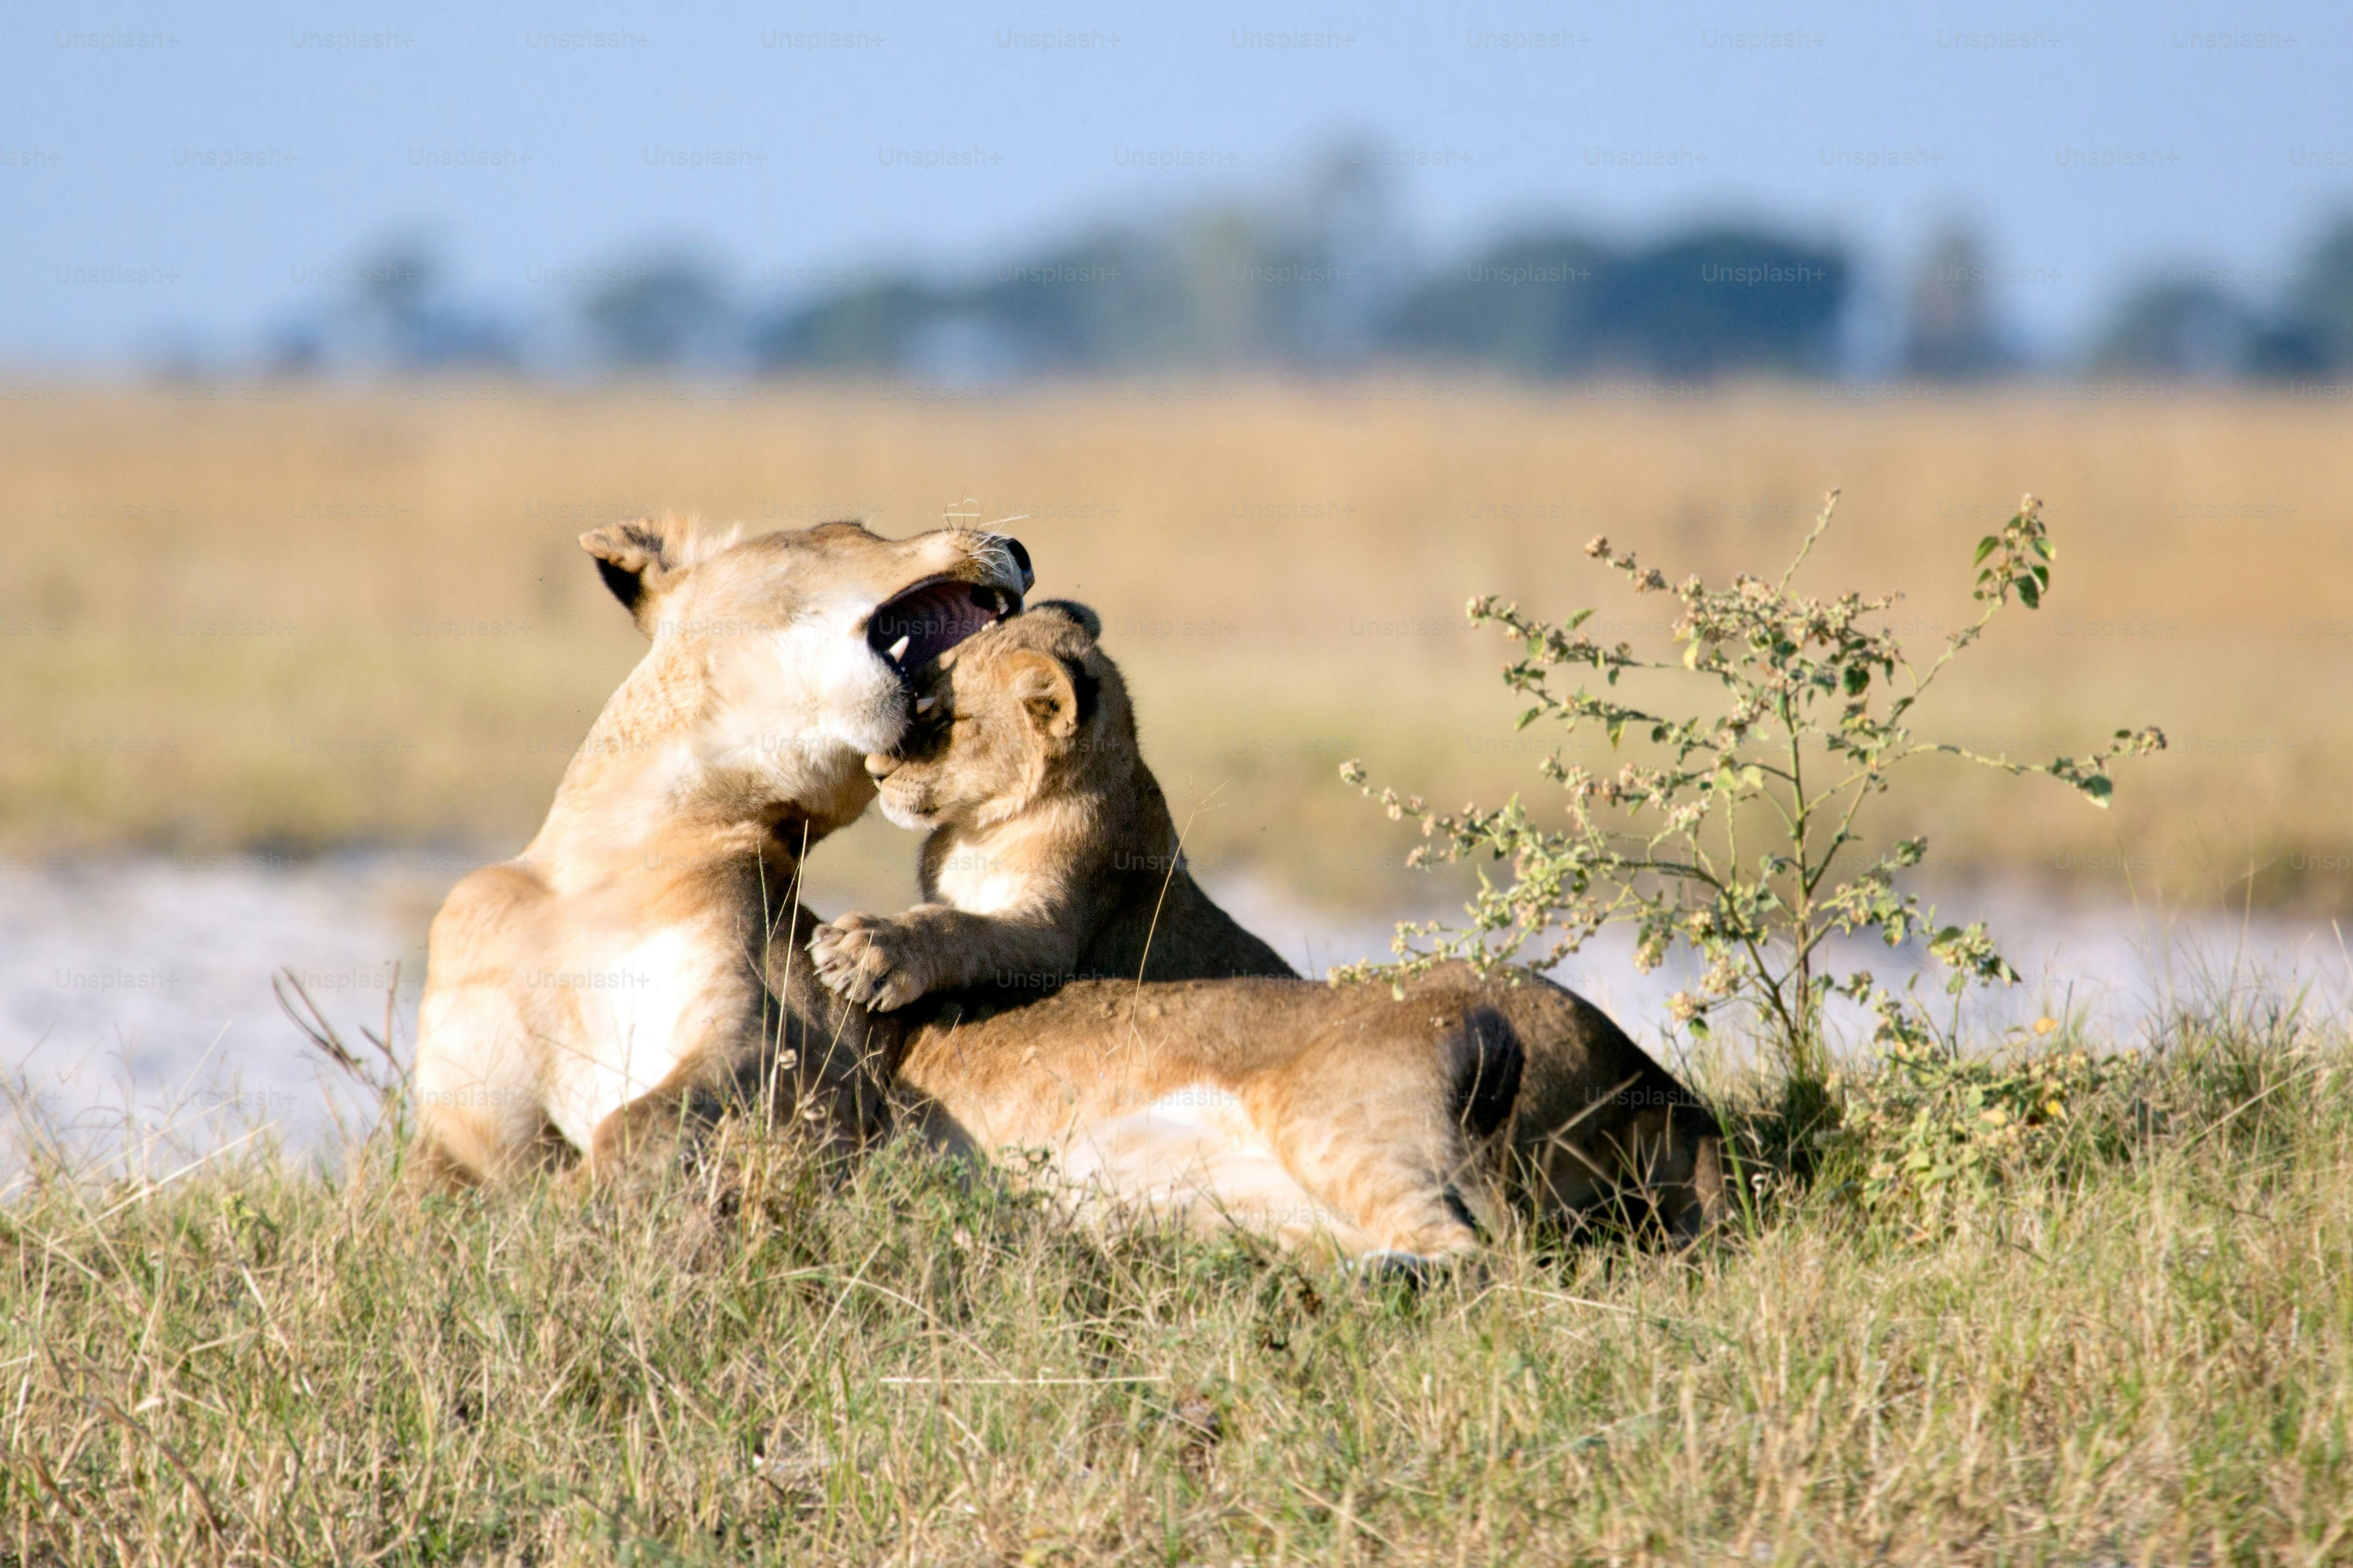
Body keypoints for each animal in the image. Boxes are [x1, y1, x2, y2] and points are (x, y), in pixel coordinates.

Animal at [409, 514, 1032, 1183]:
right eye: (846, 528)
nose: (1019, 551)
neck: (607, 869)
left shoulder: (806, 1045)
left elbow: (638, 1123)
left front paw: (574, 1196)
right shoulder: (466, 1123)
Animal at [807, 600, 1294, 1011]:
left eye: (945, 720)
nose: (874, 770)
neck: (977, 832)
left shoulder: (1054, 936)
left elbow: (962, 928)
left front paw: (869, 948)